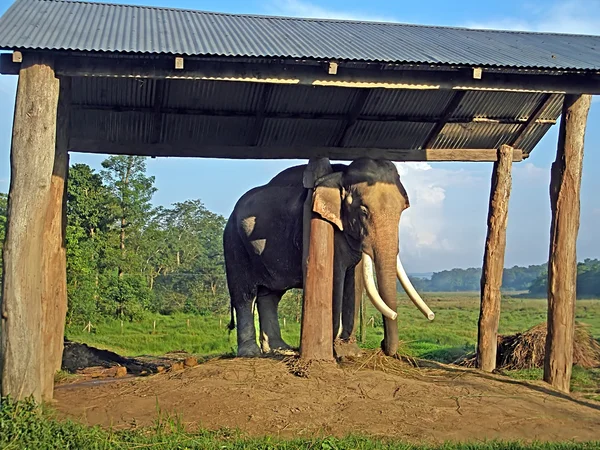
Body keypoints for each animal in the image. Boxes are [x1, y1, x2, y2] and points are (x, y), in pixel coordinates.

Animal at [223, 156, 434, 356]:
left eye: (402, 210)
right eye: (363, 211)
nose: (382, 345)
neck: (341, 174)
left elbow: (355, 280)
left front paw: (350, 351)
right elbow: (336, 275)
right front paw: (333, 348)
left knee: (270, 295)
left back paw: (280, 349)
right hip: (234, 243)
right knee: (244, 294)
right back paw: (250, 352)